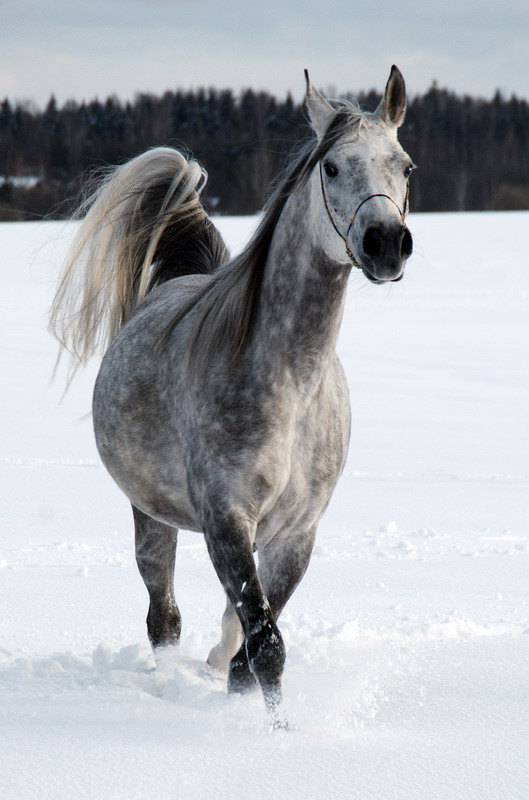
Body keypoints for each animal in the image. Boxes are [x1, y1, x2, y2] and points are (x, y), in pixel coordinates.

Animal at [49, 67, 412, 732]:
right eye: (331, 167)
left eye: (405, 166)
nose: (386, 243)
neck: (292, 386)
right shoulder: (226, 518)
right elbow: (265, 645)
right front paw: (274, 736)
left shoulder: (295, 534)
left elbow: (252, 643)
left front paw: (247, 704)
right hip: (151, 516)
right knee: (163, 616)